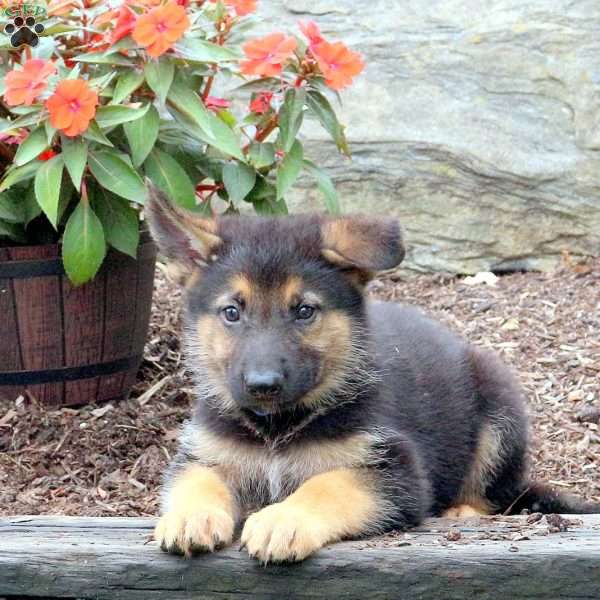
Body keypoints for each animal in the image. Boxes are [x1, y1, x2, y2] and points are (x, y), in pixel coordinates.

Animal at [146, 186, 600, 564]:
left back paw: (462, 510)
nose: (263, 385)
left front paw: (283, 520)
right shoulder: (205, 454)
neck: (278, 428)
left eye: (304, 311)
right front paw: (190, 516)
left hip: (498, 407)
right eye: (231, 312)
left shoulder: (395, 470)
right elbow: (195, 482)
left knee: (491, 492)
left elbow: (327, 485)